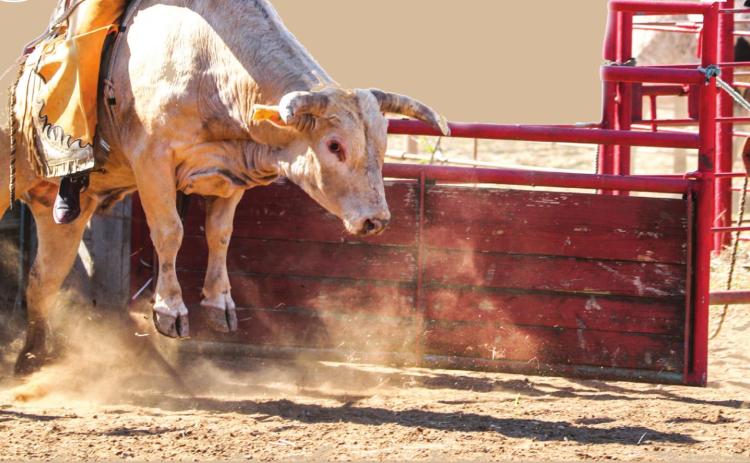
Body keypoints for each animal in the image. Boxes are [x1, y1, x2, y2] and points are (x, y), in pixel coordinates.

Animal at [2, 0, 449, 375]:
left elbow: (220, 233)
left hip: (61, 214)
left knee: (44, 278)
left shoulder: (232, 172)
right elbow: (170, 232)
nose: (377, 219)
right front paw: (171, 311)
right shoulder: (152, 162)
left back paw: (34, 357)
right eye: (334, 145)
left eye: (383, 143)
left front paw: (220, 304)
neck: (208, 63)